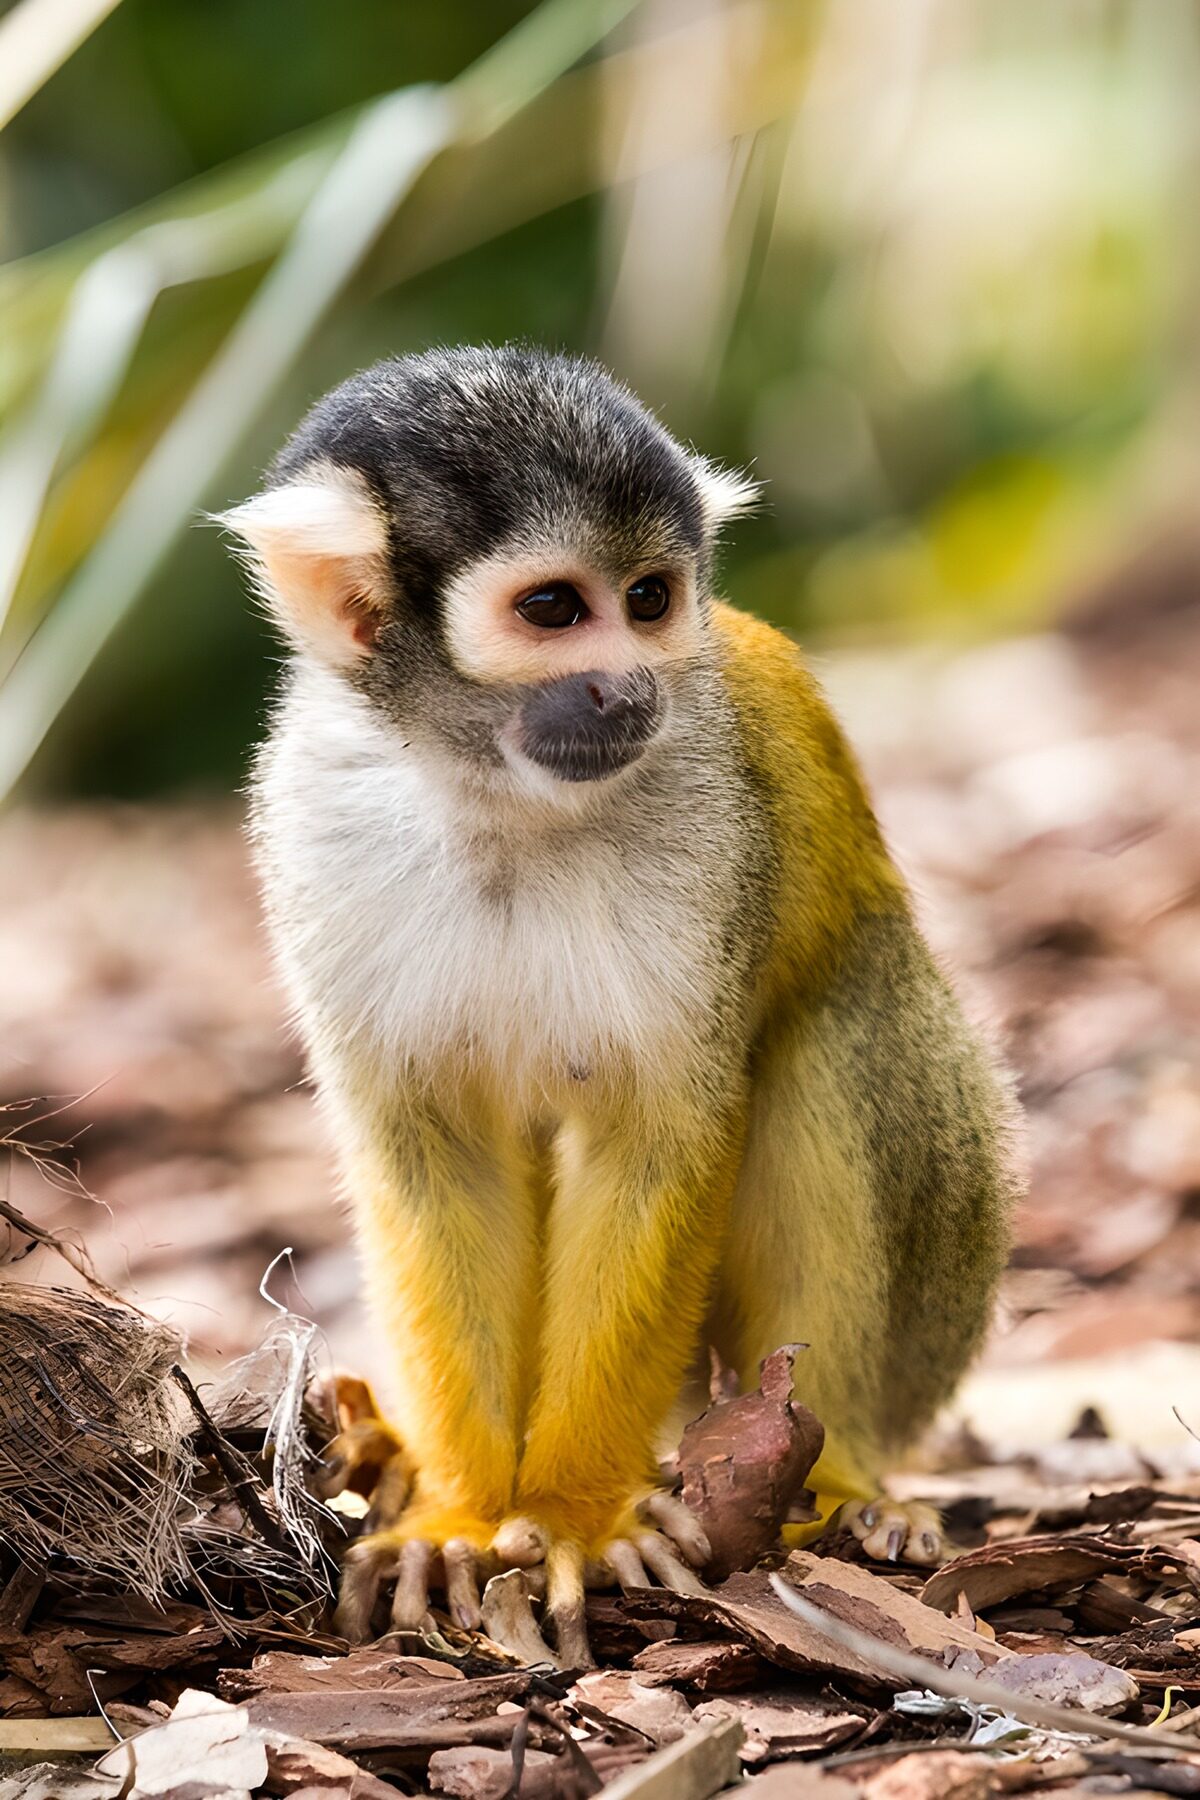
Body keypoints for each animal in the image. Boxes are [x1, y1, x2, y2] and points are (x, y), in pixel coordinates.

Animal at [220, 344, 1015, 1664]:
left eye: (648, 599)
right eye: (554, 611)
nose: (628, 686)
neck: (498, 795)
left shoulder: (708, 823)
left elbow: (663, 1132)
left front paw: (573, 1514)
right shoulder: (314, 813)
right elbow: (434, 1151)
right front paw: (460, 1514)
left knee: (836, 1036)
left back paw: (842, 1485)